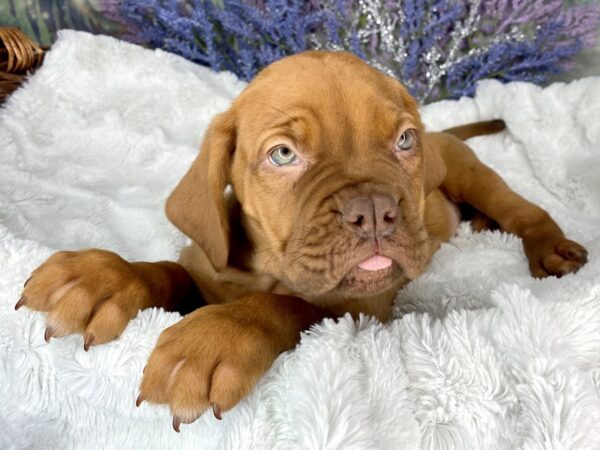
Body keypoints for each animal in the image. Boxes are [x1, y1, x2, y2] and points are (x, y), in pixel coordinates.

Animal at [16, 51, 588, 430]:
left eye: (403, 140)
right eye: (284, 154)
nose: (374, 211)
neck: (267, 266)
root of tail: (443, 133)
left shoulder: (362, 307)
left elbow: (289, 303)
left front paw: (217, 334)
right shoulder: (206, 267)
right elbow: (169, 271)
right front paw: (104, 277)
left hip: (471, 172)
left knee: (522, 209)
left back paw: (549, 247)